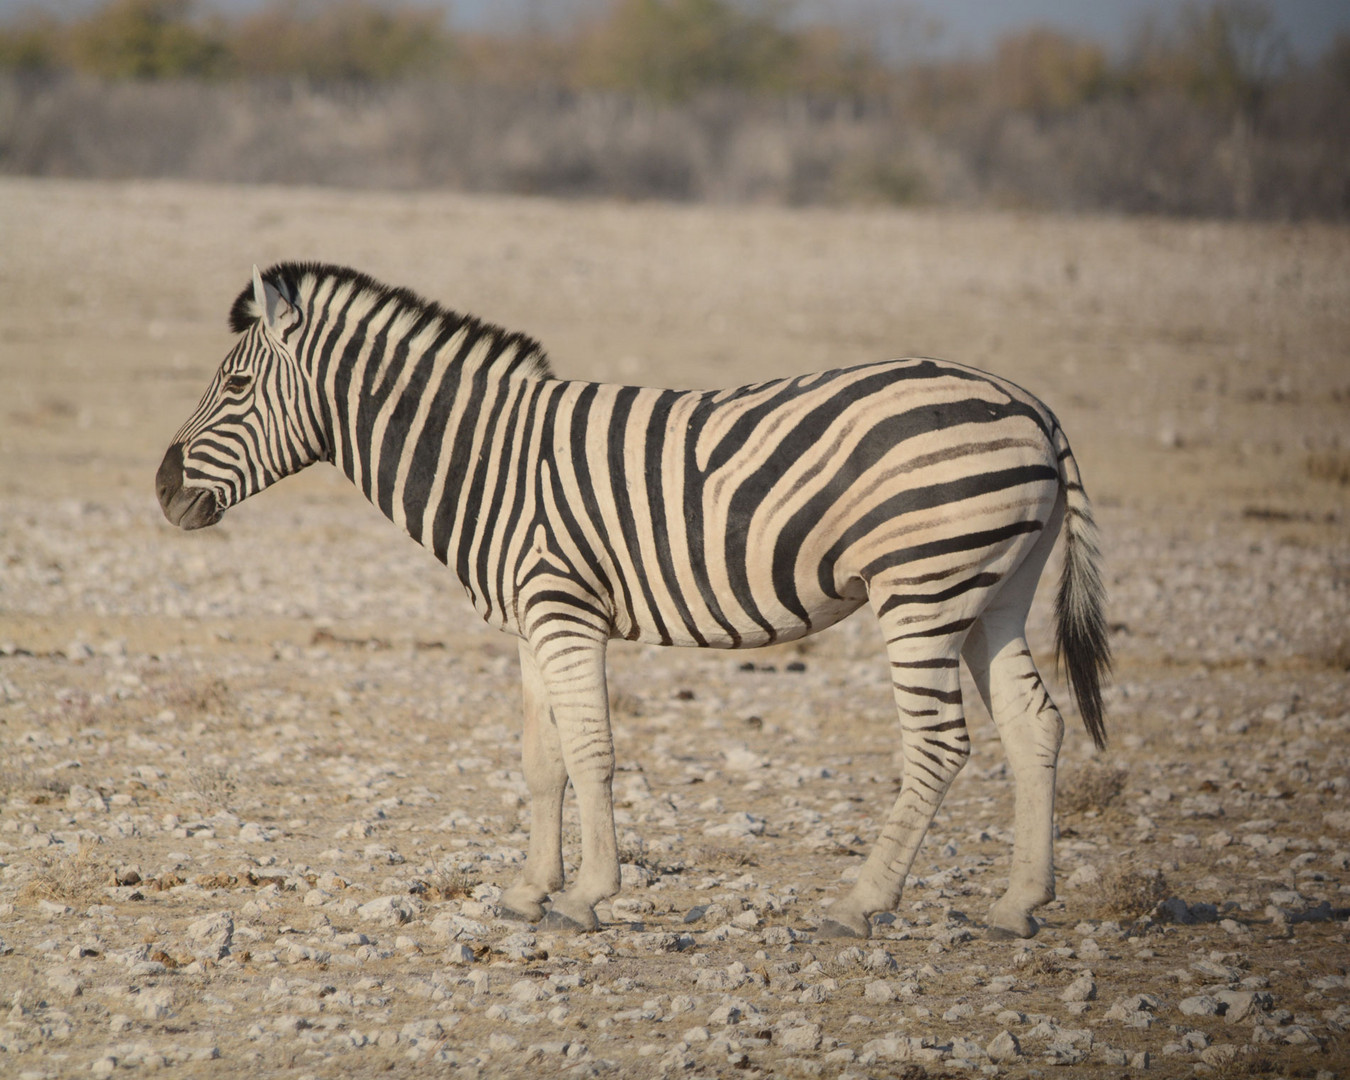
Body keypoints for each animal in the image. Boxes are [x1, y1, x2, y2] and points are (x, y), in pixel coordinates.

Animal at [157, 261, 1107, 934]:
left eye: (236, 388)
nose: (162, 491)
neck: (486, 458)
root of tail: (1031, 405)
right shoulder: (531, 623)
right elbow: (541, 760)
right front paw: (528, 892)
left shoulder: (564, 609)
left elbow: (590, 751)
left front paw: (587, 897)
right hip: (992, 591)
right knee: (1035, 724)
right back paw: (1017, 905)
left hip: (921, 588)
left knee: (940, 743)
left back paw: (860, 902)